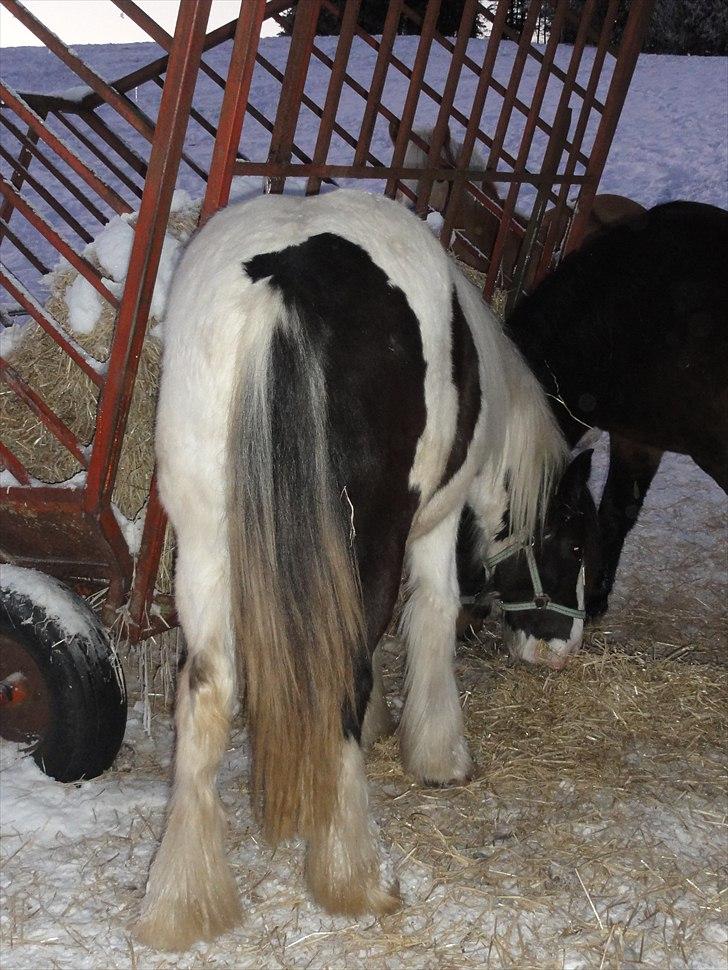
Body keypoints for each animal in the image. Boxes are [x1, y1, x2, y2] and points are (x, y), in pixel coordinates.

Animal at [138, 187, 592, 944]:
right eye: (577, 543)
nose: (560, 651)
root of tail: (286, 281)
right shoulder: (437, 520)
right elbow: (432, 614)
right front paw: (439, 756)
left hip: (205, 539)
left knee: (207, 689)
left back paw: (183, 901)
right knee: (339, 672)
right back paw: (353, 873)